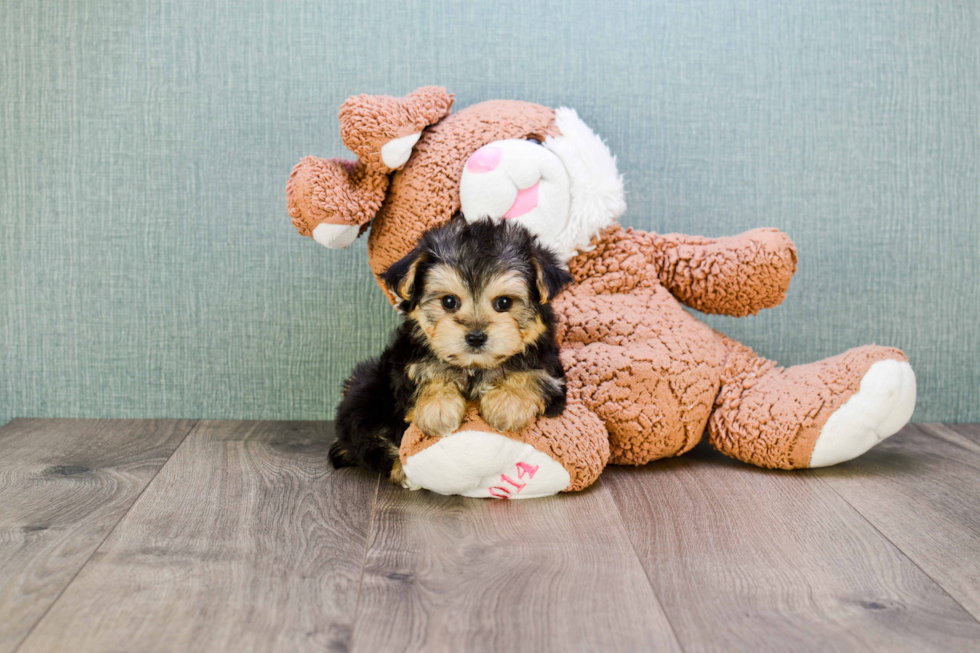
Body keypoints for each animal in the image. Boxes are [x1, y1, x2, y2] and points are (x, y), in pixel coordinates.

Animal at [332, 215, 576, 484]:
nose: (476, 337)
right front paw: (438, 407)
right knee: (366, 439)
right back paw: (402, 469)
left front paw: (506, 403)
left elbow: (532, 376)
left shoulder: (552, 373)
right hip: (365, 391)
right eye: (449, 301)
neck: (474, 367)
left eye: (504, 303)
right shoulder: (404, 368)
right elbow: (427, 373)